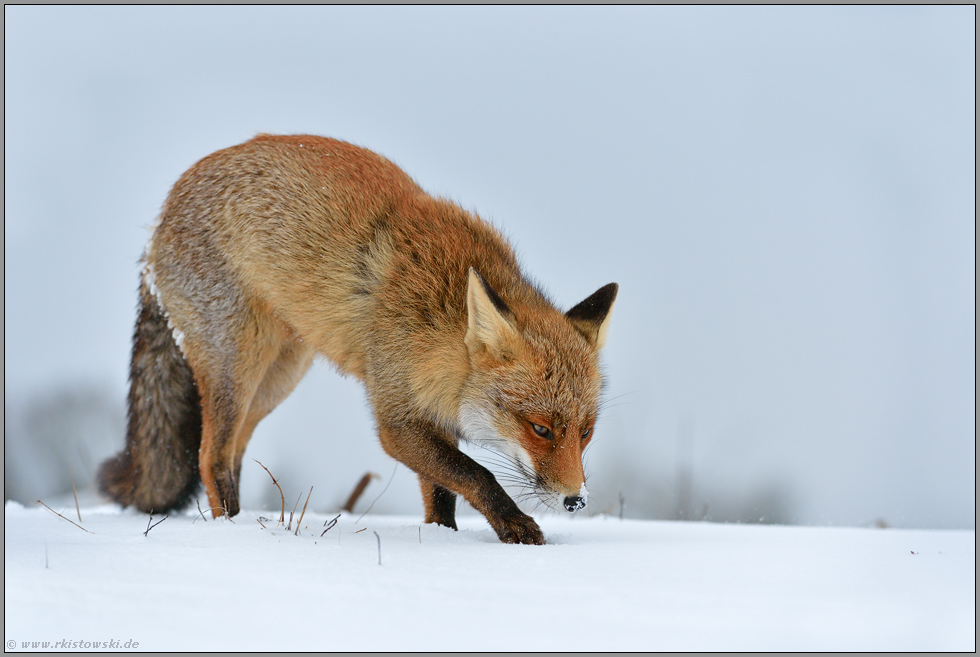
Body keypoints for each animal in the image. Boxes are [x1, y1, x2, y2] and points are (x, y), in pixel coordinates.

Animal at [101, 133, 620, 544]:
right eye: (540, 429)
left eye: (586, 432)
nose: (575, 501)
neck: (438, 319)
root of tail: (161, 216)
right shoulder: (397, 419)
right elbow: (477, 474)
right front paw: (514, 527)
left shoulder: (436, 416)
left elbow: (443, 495)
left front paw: (441, 542)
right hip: (237, 366)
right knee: (210, 456)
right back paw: (232, 531)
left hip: (276, 380)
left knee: (230, 456)